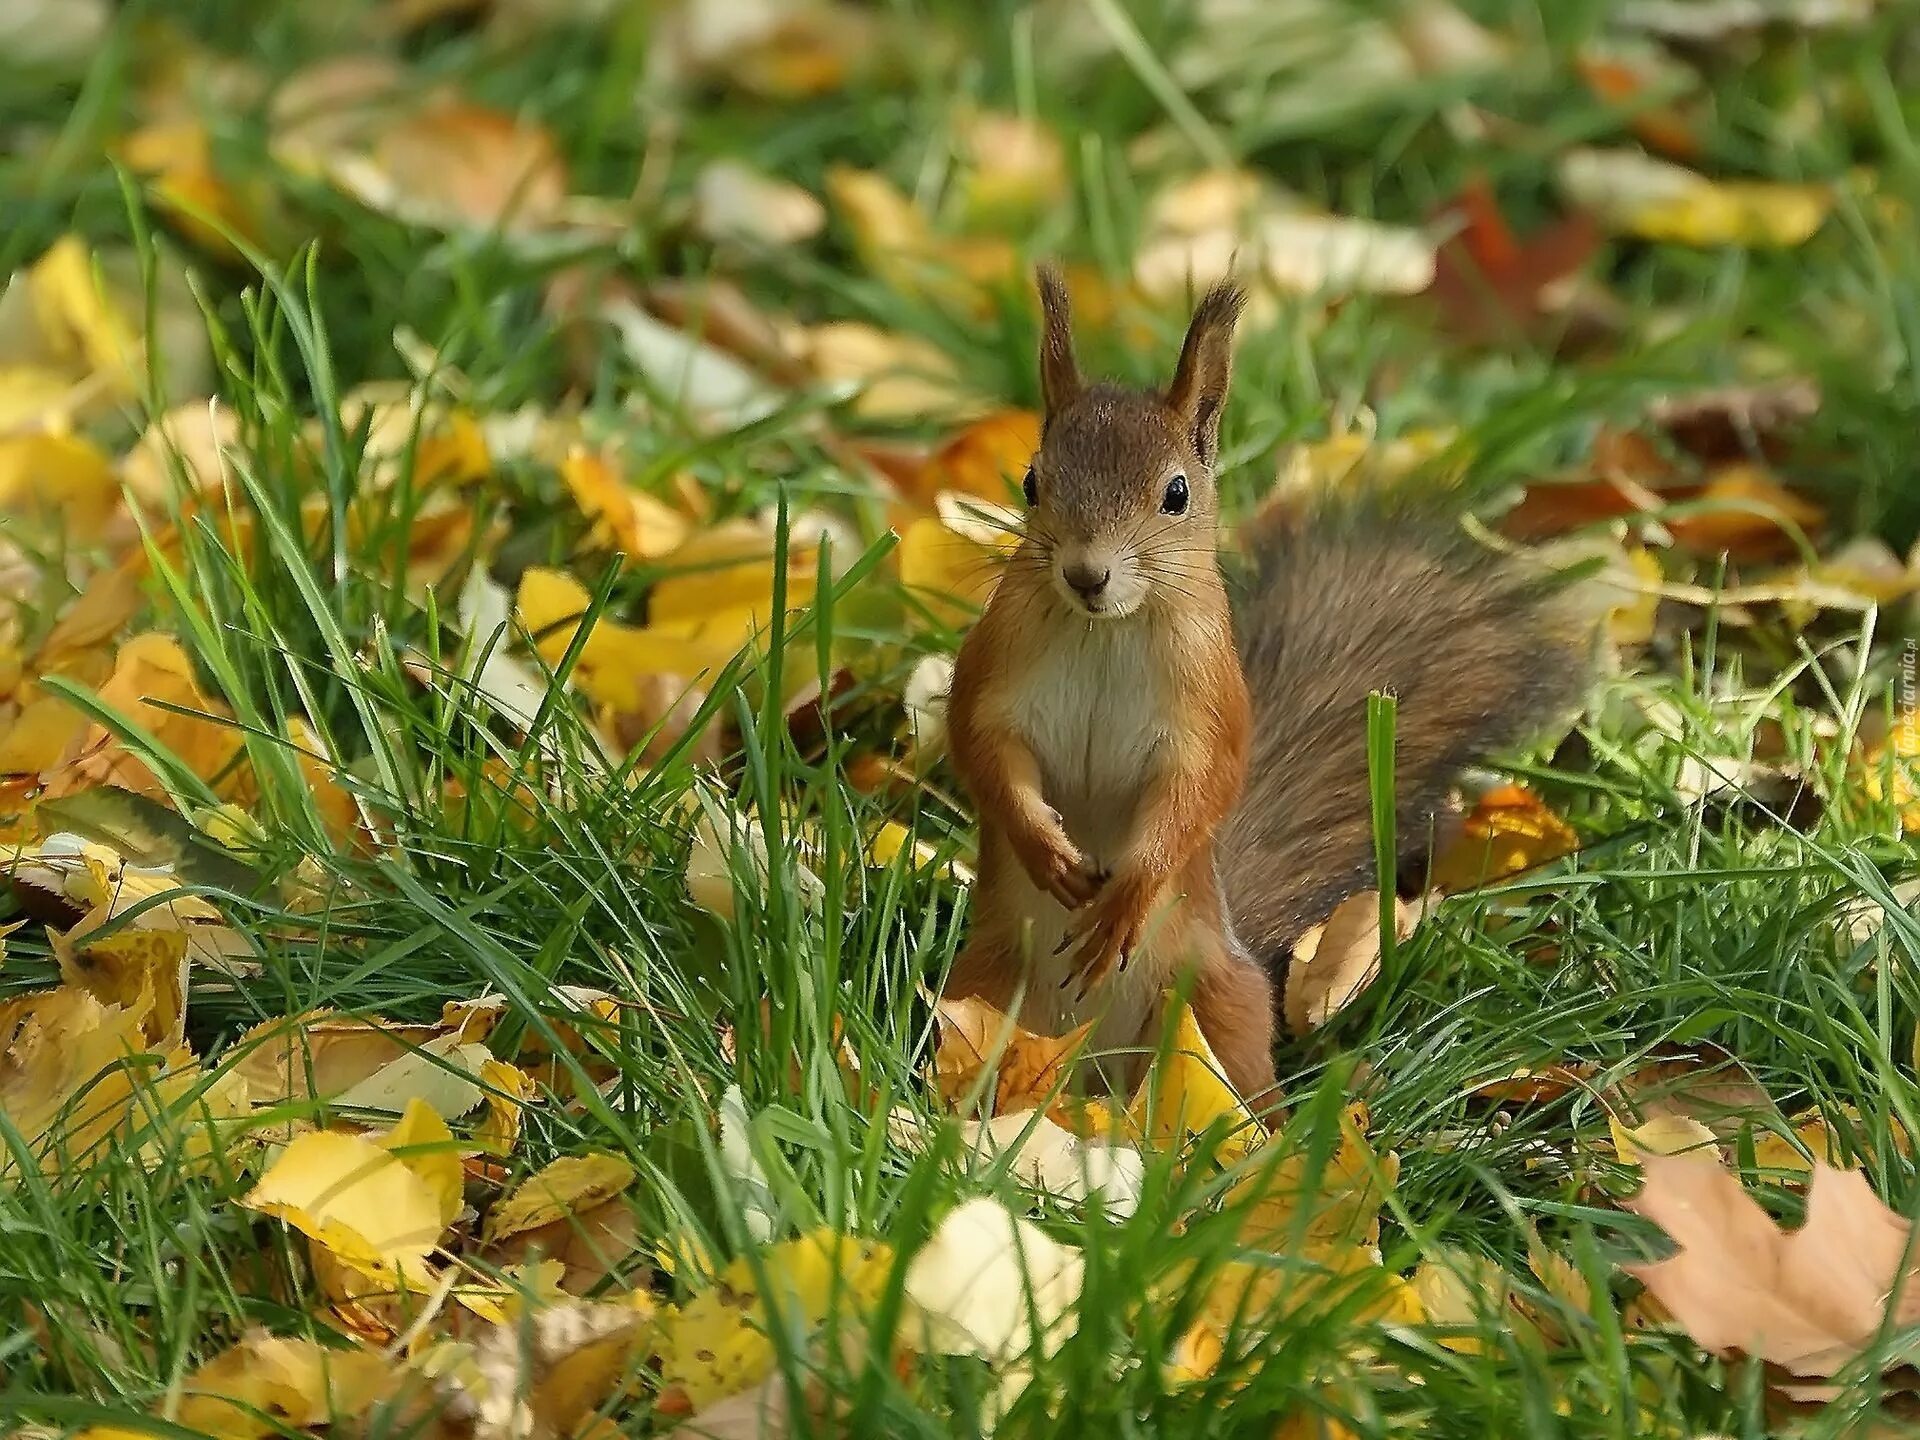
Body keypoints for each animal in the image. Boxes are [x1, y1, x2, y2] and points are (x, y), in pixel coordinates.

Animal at [936, 264, 1582, 1105]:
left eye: (1177, 494)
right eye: (1031, 481)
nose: (1086, 575)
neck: (1105, 631)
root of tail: (1093, 1075)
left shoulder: (1211, 701)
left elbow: (1200, 792)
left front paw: (1127, 898)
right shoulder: (995, 672)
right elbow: (985, 752)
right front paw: (1045, 850)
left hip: (1218, 1005)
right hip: (980, 988)